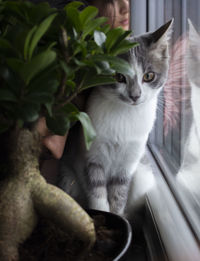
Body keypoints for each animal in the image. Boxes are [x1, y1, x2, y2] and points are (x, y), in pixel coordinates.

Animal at [58, 20, 173, 214]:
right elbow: (96, 191)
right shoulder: (90, 155)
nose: (135, 95)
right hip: (67, 177)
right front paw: (101, 214)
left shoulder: (128, 164)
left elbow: (119, 195)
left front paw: (117, 213)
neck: (125, 114)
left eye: (149, 76)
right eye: (118, 76)